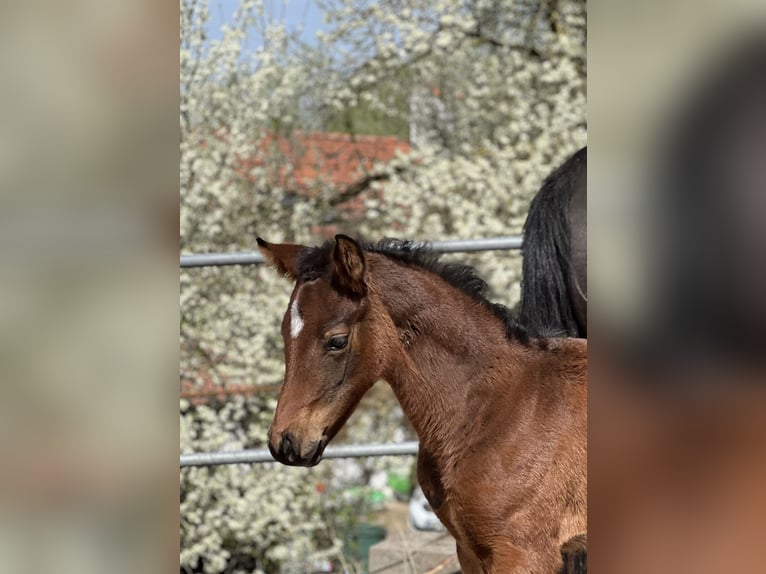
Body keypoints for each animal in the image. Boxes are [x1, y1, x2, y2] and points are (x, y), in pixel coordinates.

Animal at [258, 235, 588, 574]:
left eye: (337, 341)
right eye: (284, 333)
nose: (285, 442)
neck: (496, 408)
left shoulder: (524, 552)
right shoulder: (470, 552)